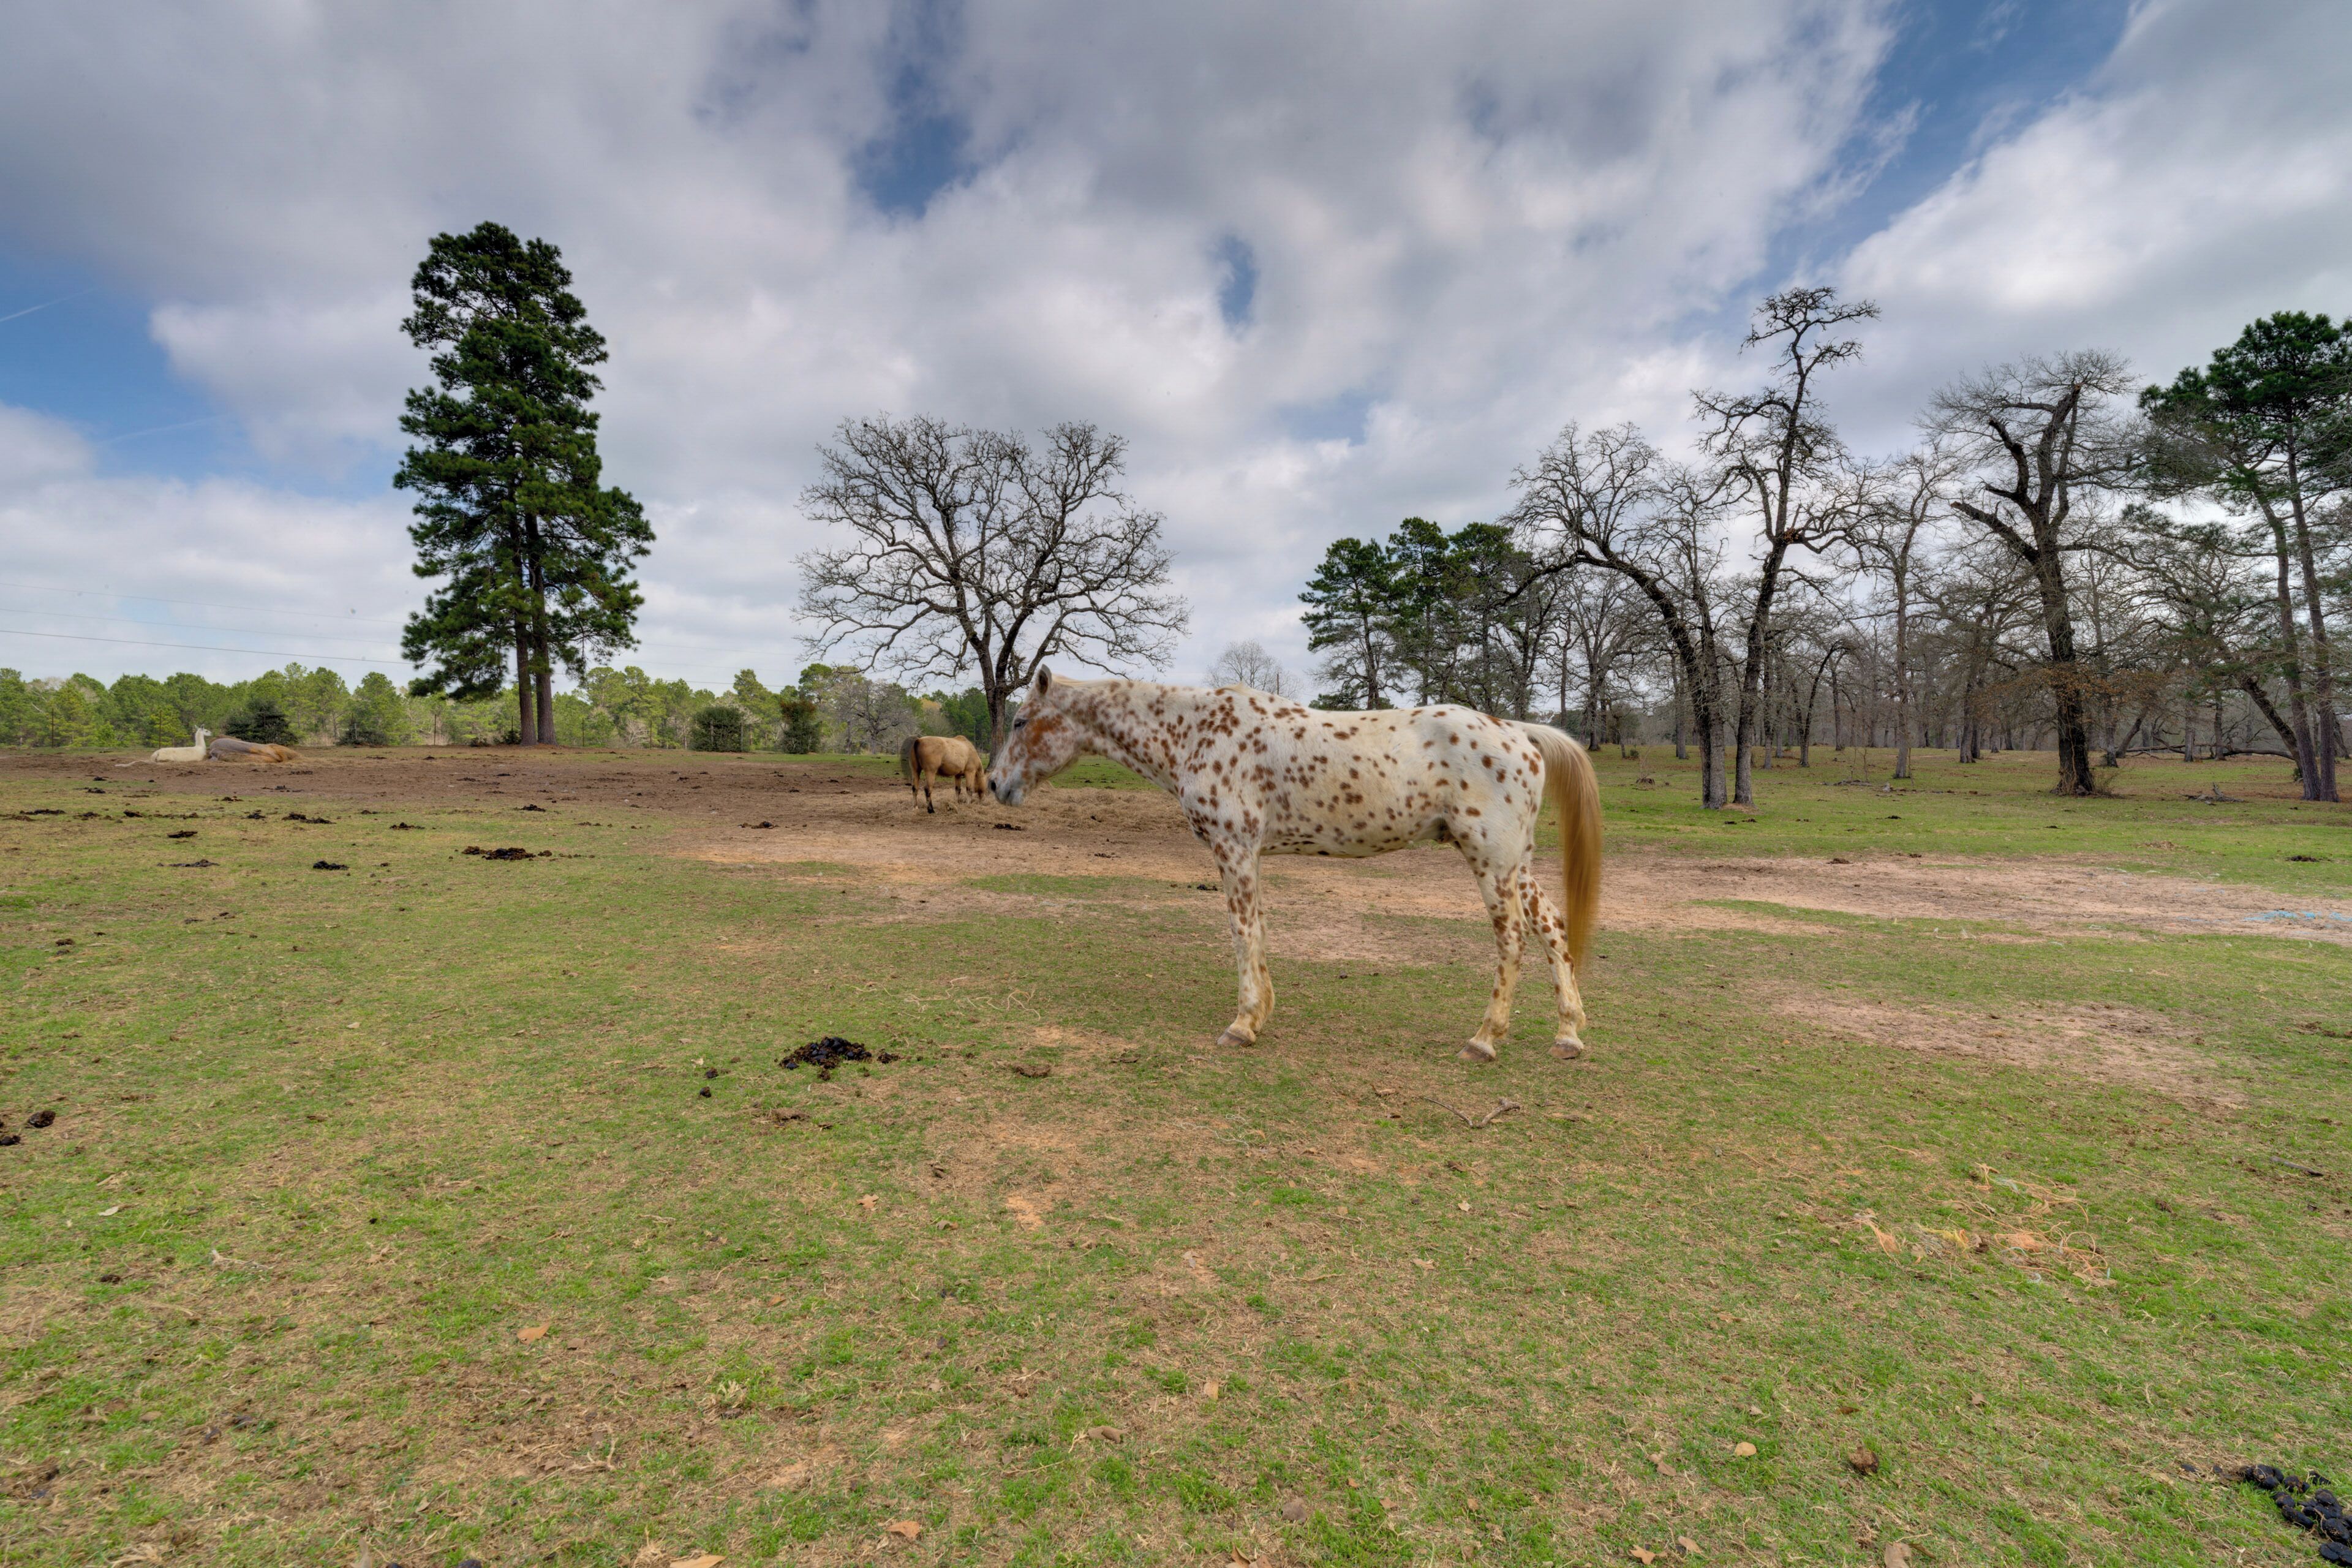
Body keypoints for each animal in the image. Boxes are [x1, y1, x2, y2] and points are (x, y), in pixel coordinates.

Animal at [900, 733, 987, 814]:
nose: (982, 801)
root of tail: (919, 741)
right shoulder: (970, 772)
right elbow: (969, 789)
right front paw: (968, 804)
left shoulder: (958, 775)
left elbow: (958, 790)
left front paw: (956, 803)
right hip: (930, 772)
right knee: (928, 789)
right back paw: (931, 810)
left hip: (916, 771)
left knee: (915, 788)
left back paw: (915, 807)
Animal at [987, 669, 1601, 1063]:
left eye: (1020, 721)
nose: (995, 784)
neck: (1197, 732)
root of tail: (1519, 731)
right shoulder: (1248, 855)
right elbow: (1258, 930)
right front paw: (1260, 1015)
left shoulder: (1233, 849)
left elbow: (1240, 931)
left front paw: (1242, 1025)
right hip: (1515, 863)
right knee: (1552, 927)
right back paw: (1568, 1034)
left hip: (1490, 861)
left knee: (1512, 941)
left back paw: (1484, 1039)